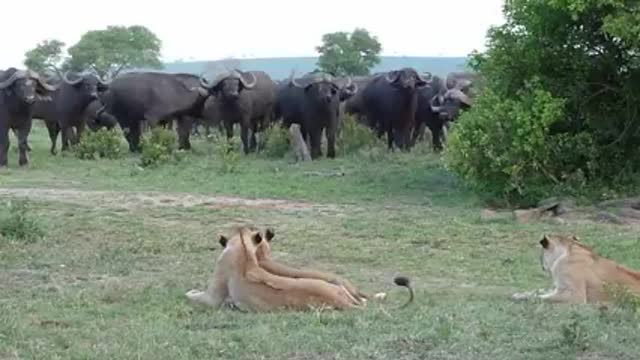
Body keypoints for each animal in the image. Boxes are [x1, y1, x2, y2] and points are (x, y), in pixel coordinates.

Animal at [512, 233, 640, 304]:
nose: (542, 266)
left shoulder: (576, 295)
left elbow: (542, 297)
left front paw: (520, 298)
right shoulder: (559, 287)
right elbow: (539, 291)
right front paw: (519, 294)